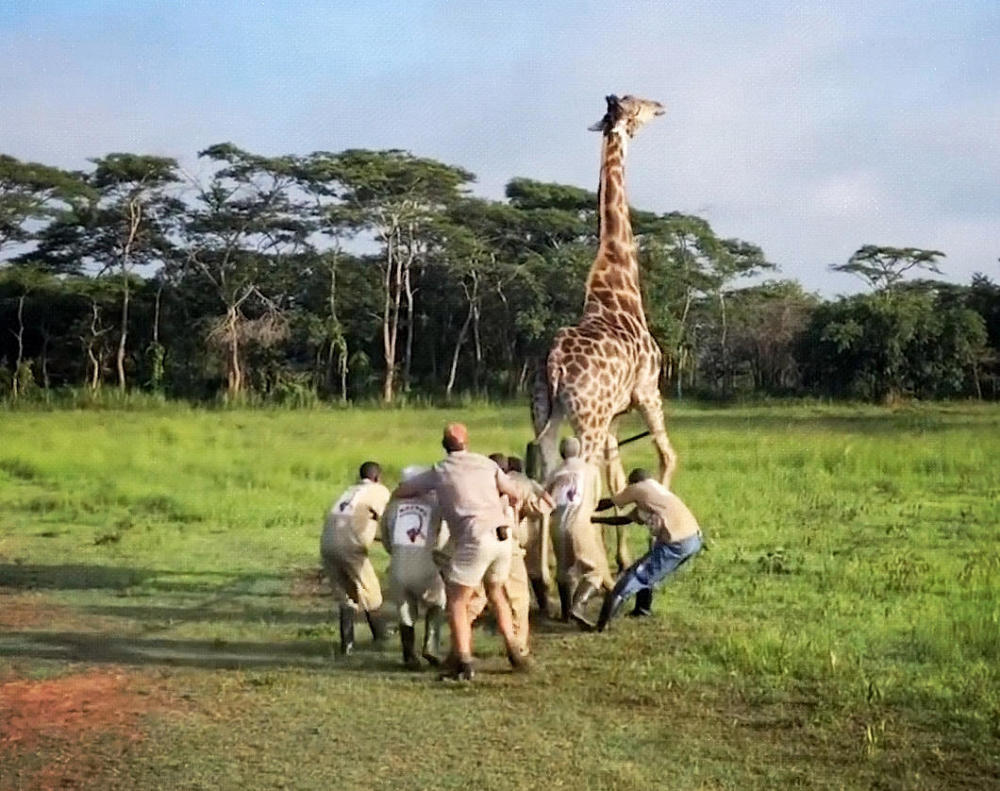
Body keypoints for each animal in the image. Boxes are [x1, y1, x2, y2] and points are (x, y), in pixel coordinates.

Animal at [532, 96, 680, 572]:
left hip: (547, 410)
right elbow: (665, 456)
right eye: (640, 106)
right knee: (579, 475)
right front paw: (651, 536)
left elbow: (617, 475)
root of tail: (555, 362)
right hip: (588, 418)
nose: (662, 105)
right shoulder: (649, 391)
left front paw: (624, 552)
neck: (618, 287)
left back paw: (545, 568)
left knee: (546, 468)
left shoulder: (615, 415)